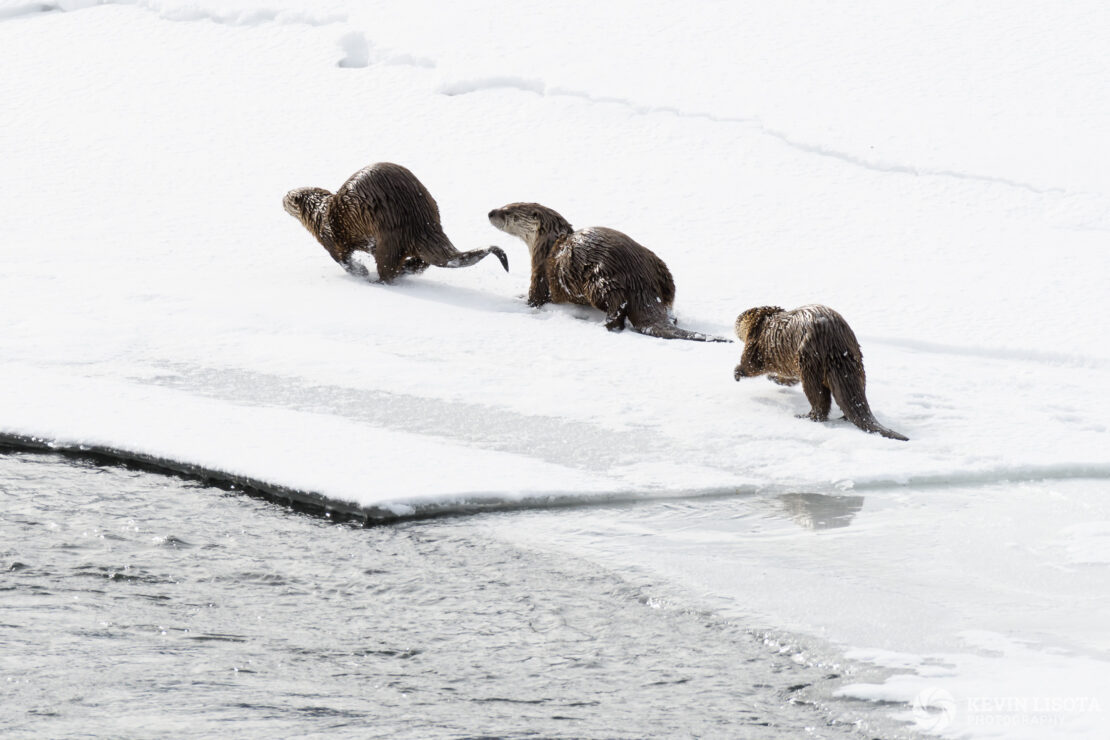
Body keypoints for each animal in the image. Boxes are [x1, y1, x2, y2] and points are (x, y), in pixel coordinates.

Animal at [286, 163, 510, 284]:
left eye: (288, 196)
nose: (282, 196)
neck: (320, 213)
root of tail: (422, 224)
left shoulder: (330, 237)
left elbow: (343, 260)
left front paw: (361, 272)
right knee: (421, 262)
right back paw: (407, 268)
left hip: (389, 235)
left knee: (388, 269)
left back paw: (376, 280)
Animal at [486, 200, 728, 343]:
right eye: (506, 203)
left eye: (507, 211)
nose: (490, 212)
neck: (547, 244)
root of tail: (641, 282)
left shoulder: (540, 271)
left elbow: (535, 298)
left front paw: (518, 300)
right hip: (664, 273)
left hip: (600, 279)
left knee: (617, 308)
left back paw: (604, 325)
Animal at [732, 306, 905, 439]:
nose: (736, 321)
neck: (763, 324)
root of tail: (835, 346)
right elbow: (789, 377)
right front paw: (776, 378)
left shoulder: (755, 346)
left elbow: (750, 365)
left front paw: (738, 373)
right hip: (857, 359)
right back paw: (844, 417)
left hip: (809, 362)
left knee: (819, 400)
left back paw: (805, 416)